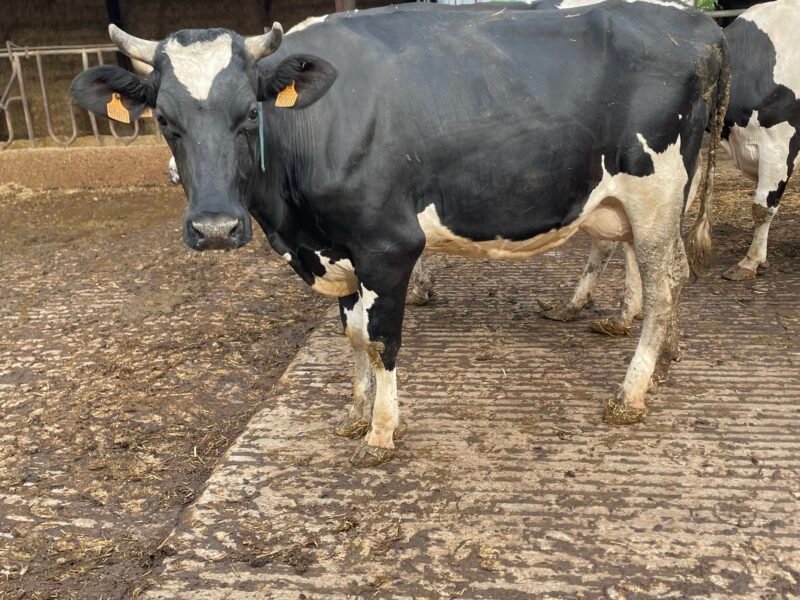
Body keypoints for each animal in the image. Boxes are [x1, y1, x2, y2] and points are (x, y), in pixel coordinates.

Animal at [70, 2, 728, 467]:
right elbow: (352, 335)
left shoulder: (387, 246)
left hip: (656, 192)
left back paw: (632, 393)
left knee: (664, 285)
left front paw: (382, 432)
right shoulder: (334, 251)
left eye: (250, 114)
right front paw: (355, 412)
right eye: (165, 120)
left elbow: (380, 338)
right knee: (671, 275)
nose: (214, 227)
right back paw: (664, 359)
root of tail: (697, 25)